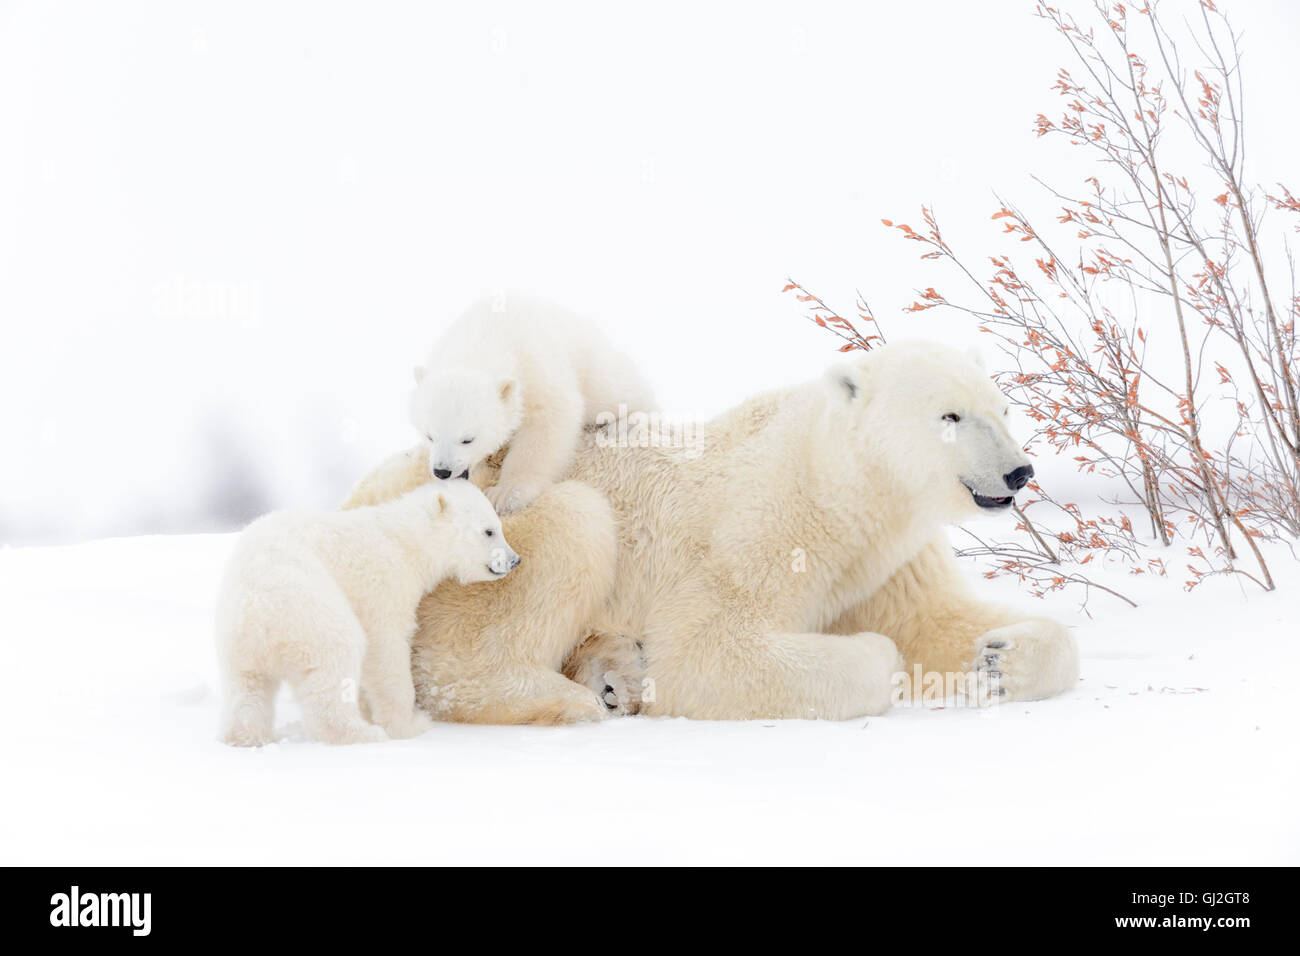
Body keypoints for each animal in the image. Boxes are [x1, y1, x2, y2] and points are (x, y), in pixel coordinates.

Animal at [215, 481, 514, 743]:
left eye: (498, 526)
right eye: (489, 531)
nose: (514, 560)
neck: (406, 542)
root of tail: (255, 610)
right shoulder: (382, 583)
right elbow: (386, 648)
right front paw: (410, 725)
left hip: (238, 644)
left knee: (247, 688)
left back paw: (246, 737)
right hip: (308, 609)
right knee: (338, 657)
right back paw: (361, 733)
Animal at [343, 340, 1076, 723]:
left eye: (1003, 406)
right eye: (949, 415)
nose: (1018, 471)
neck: (839, 488)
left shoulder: (888, 558)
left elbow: (933, 620)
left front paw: (997, 657)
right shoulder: (764, 530)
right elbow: (707, 650)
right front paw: (876, 658)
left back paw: (613, 672)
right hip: (478, 527)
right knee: (570, 528)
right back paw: (575, 695)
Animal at [408, 295, 655, 512]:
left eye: (468, 439)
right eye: (429, 436)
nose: (442, 471)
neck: (484, 339)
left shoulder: (536, 368)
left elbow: (548, 421)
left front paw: (507, 493)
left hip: (589, 360)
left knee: (611, 390)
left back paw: (627, 421)